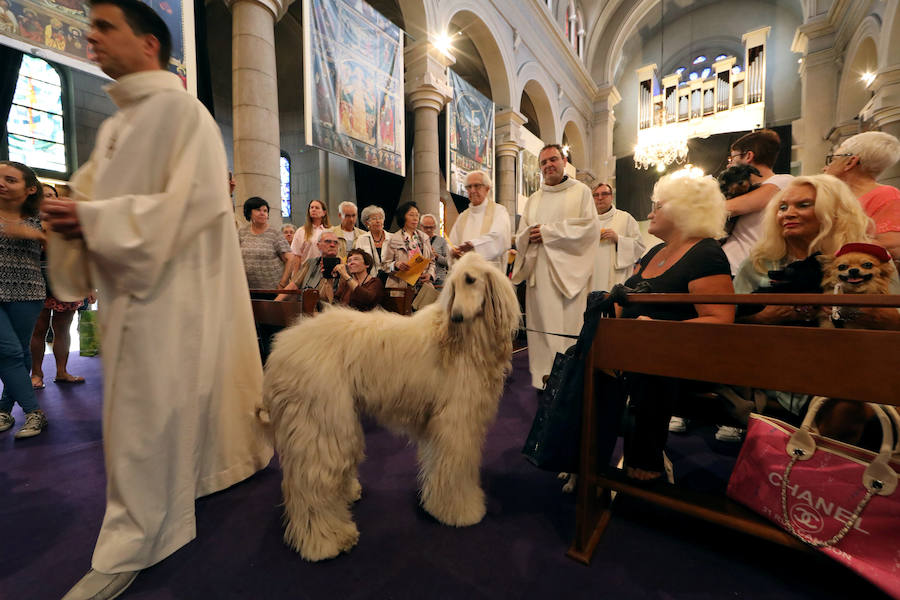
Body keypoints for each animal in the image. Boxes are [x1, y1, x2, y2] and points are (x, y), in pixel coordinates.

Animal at [260, 253, 520, 564]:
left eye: (471, 279)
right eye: (454, 285)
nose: (456, 316)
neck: (463, 339)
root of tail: (281, 348)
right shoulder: (455, 422)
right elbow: (455, 468)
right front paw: (459, 510)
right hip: (319, 420)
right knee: (311, 483)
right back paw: (327, 540)